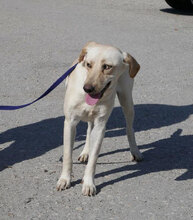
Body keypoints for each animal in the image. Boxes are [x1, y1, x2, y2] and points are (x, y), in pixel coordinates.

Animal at [56, 41, 142, 196]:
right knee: (89, 130)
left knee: (129, 129)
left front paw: (88, 183)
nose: (87, 88)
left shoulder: (101, 126)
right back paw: (85, 152)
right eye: (88, 64)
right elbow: (67, 156)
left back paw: (135, 151)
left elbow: (94, 159)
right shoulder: (70, 123)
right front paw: (65, 179)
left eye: (107, 66)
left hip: (127, 102)